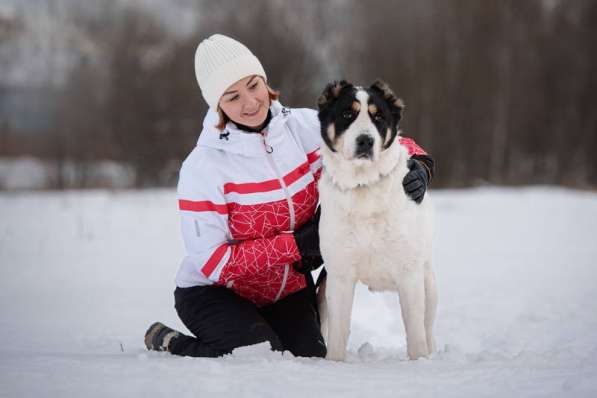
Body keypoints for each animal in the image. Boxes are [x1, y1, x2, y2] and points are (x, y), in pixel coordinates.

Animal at [314, 80, 436, 360]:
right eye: (347, 114)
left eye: (378, 117)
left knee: (428, 327)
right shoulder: (339, 274)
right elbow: (338, 334)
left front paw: (420, 362)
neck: (363, 186)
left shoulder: (410, 273)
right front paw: (334, 364)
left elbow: (416, 335)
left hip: (429, 283)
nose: (365, 141)